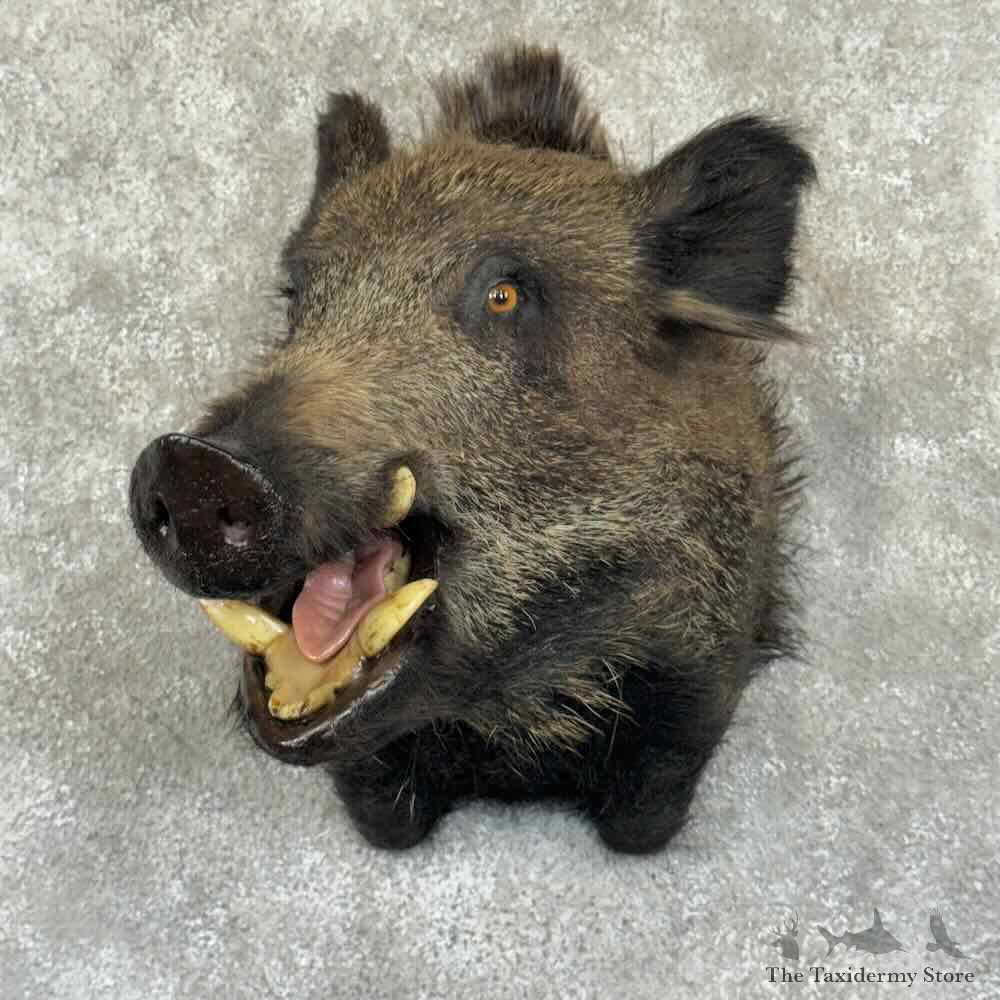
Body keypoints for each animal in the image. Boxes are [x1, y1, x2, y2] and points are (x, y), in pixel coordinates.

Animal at [129, 44, 815, 853]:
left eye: (504, 296)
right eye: (299, 297)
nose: (193, 464)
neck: (514, 745)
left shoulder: (699, 683)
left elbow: (643, 820)